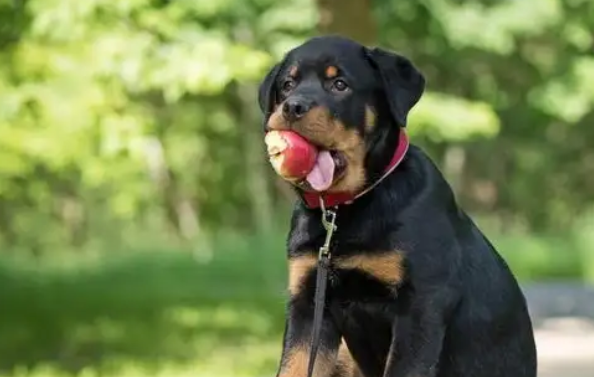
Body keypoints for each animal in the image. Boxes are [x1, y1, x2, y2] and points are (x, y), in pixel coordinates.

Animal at [254, 35, 536, 376]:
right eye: (287, 84)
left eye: (339, 84)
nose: (293, 106)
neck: (344, 209)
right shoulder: (308, 303)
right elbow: (293, 367)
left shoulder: (420, 305)